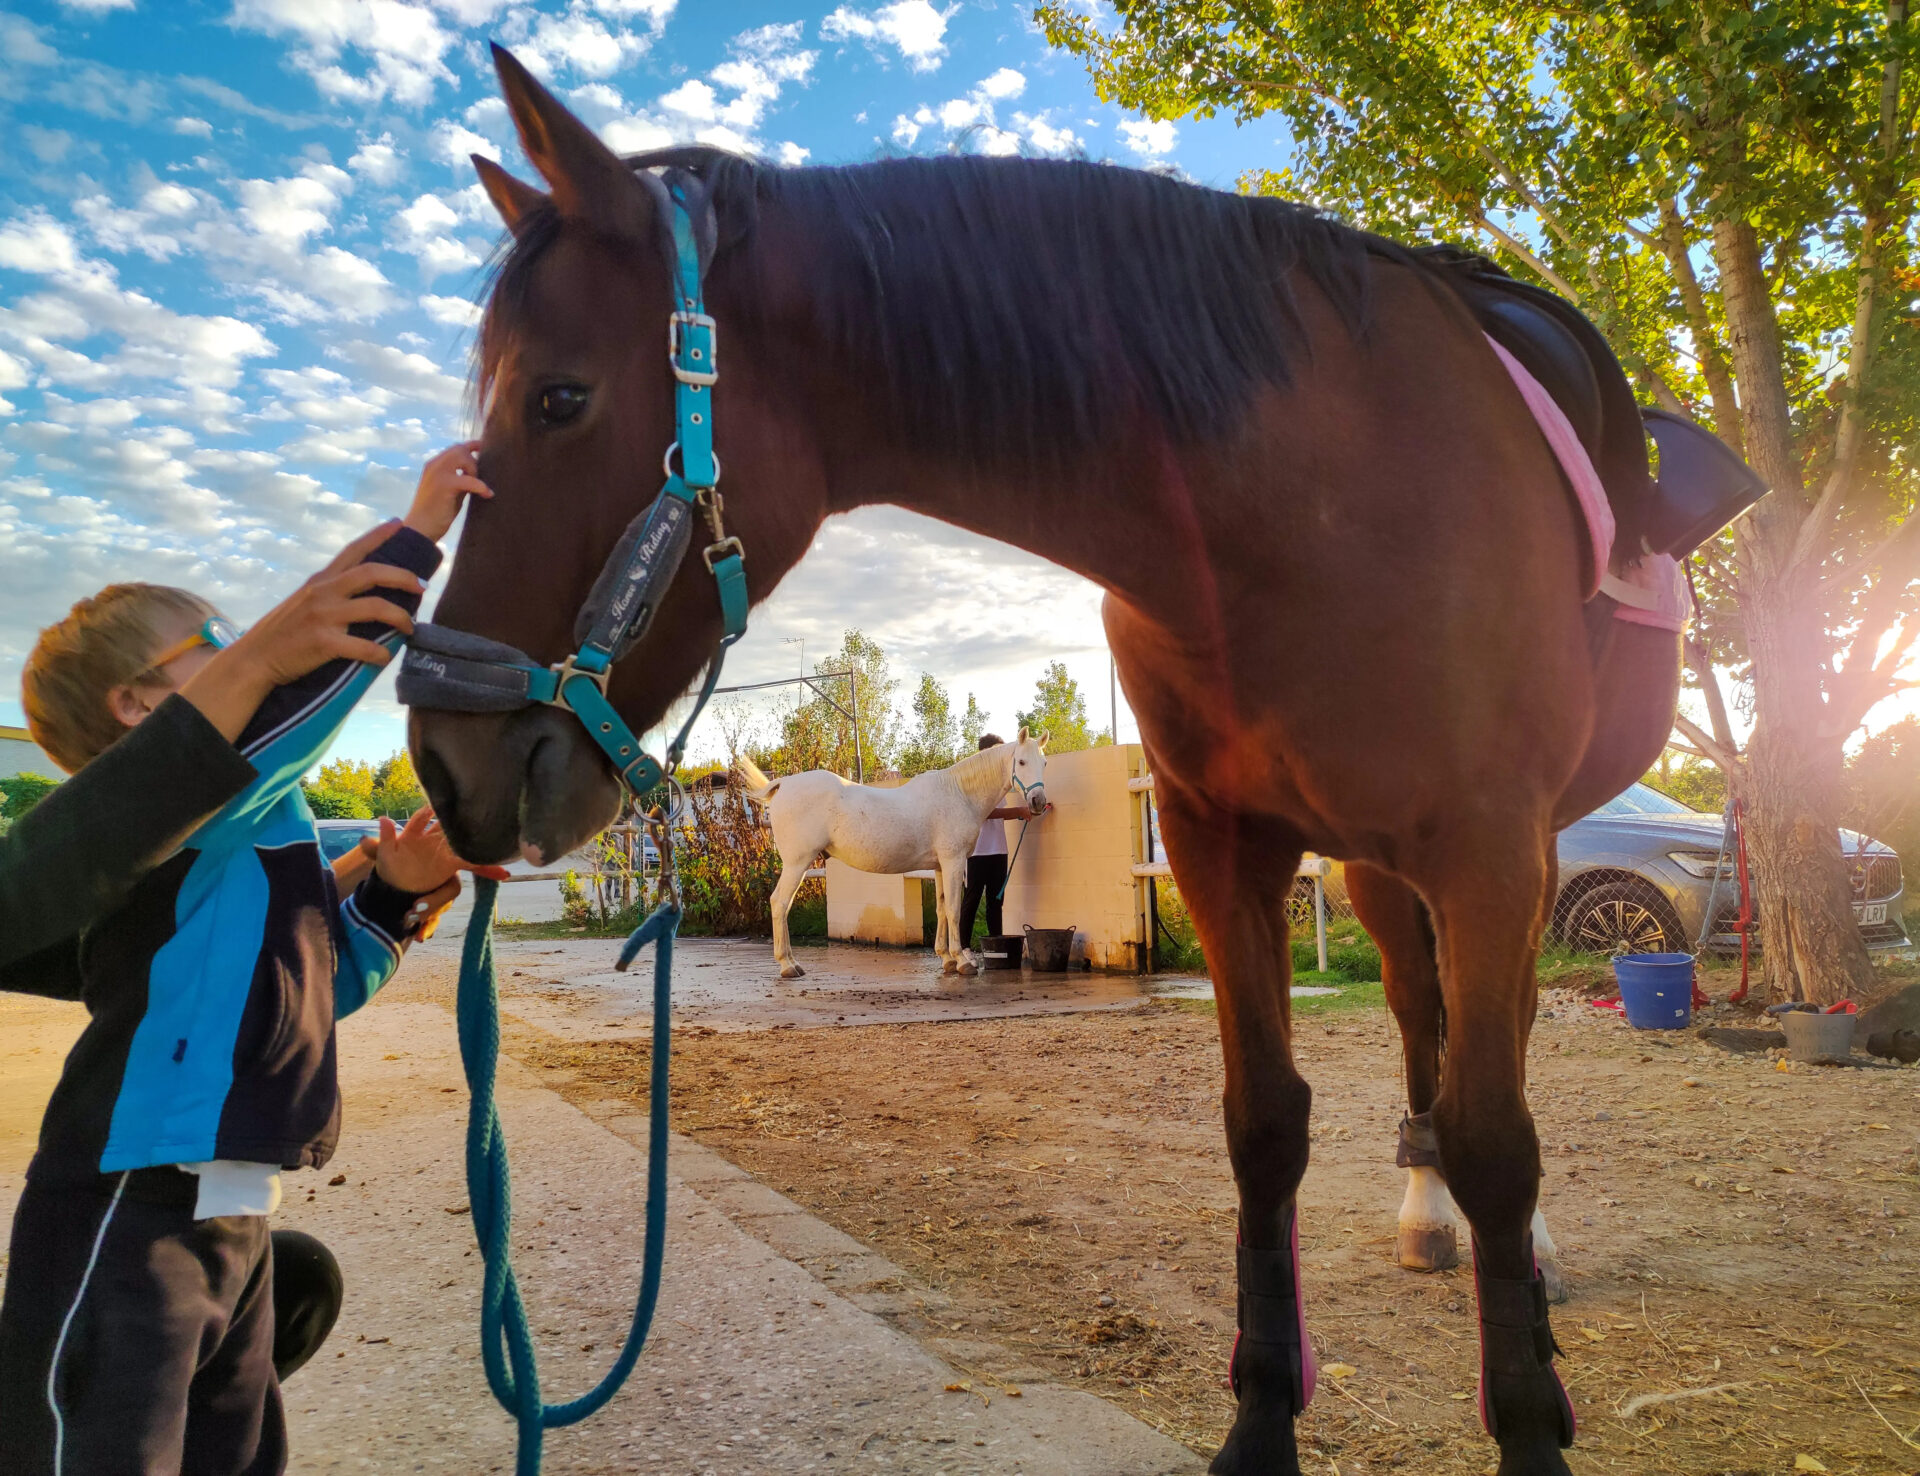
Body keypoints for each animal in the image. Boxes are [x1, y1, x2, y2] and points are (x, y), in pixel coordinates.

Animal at [733, 729, 1052, 978]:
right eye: (1021, 761)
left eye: (1044, 762)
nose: (1038, 802)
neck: (959, 793)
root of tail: (784, 783)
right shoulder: (953, 862)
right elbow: (954, 909)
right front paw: (963, 962)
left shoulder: (939, 866)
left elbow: (941, 908)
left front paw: (946, 959)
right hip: (797, 863)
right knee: (779, 903)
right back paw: (788, 965)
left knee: (782, 905)